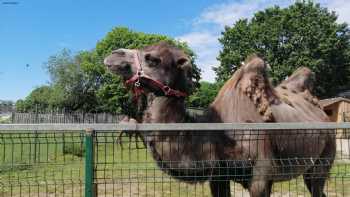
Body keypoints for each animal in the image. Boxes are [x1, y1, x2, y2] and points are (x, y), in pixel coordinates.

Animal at [104, 42, 336, 197]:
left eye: (152, 59)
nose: (113, 55)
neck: (218, 134)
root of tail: (323, 113)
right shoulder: (218, 175)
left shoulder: (260, 175)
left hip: (325, 154)